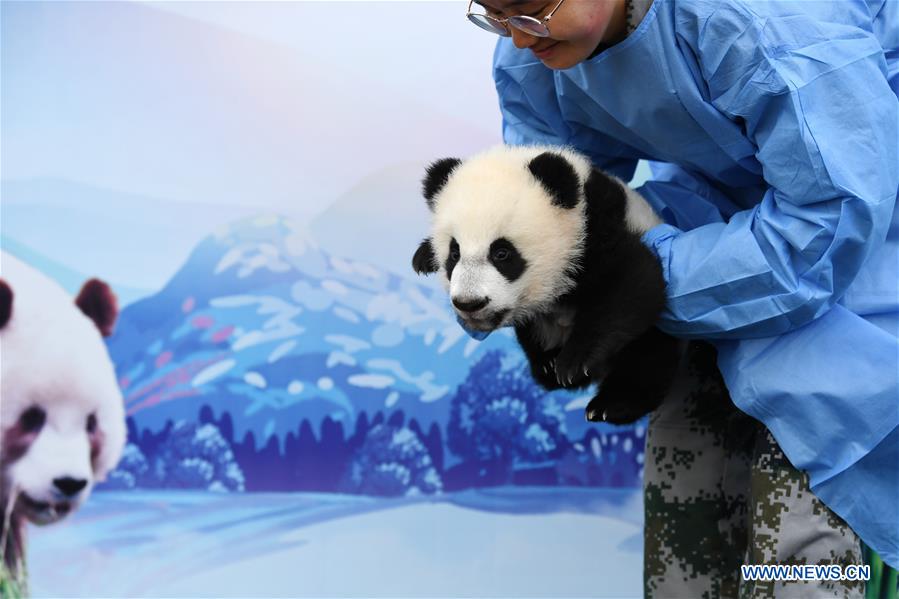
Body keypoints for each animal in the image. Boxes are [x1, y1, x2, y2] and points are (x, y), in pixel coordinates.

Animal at [412, 145, 681, 424]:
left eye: (502, 253)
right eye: (454, 253)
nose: (470, 303)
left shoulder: (598, 230)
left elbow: (636, 279)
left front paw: (574, 361)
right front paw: (424, 255)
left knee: (647, 356)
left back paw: (612, 404)